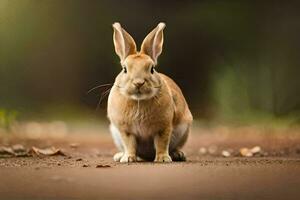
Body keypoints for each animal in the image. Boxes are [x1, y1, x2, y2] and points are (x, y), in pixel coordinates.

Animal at [107, 21, 192, 162]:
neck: (139, 100)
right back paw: (120, 156)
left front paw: (163, 159)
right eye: (124, 69)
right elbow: (129, 144)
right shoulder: (125, 131)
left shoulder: (163, 127)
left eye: (152, 69)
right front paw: (128, 158)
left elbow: (162, 143)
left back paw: (178, 155)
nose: (138, 82)